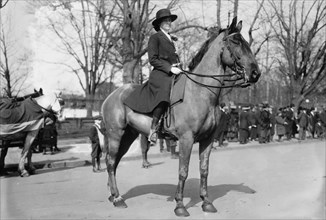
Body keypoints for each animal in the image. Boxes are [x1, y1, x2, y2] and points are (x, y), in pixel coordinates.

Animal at [100, 17, 262, 217]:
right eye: (236, 42)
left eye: (246, 42)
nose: (255, 73)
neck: (200, 92)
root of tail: (111, 96)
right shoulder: (186, 139)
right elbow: (183, 171)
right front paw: (180, 206)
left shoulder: (208, 139)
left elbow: (204, 169)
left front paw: (206, 202)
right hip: (116, 134)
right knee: (110, 162)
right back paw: (117, 199)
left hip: (128, 136)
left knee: (114, 163)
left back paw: (113, 195)